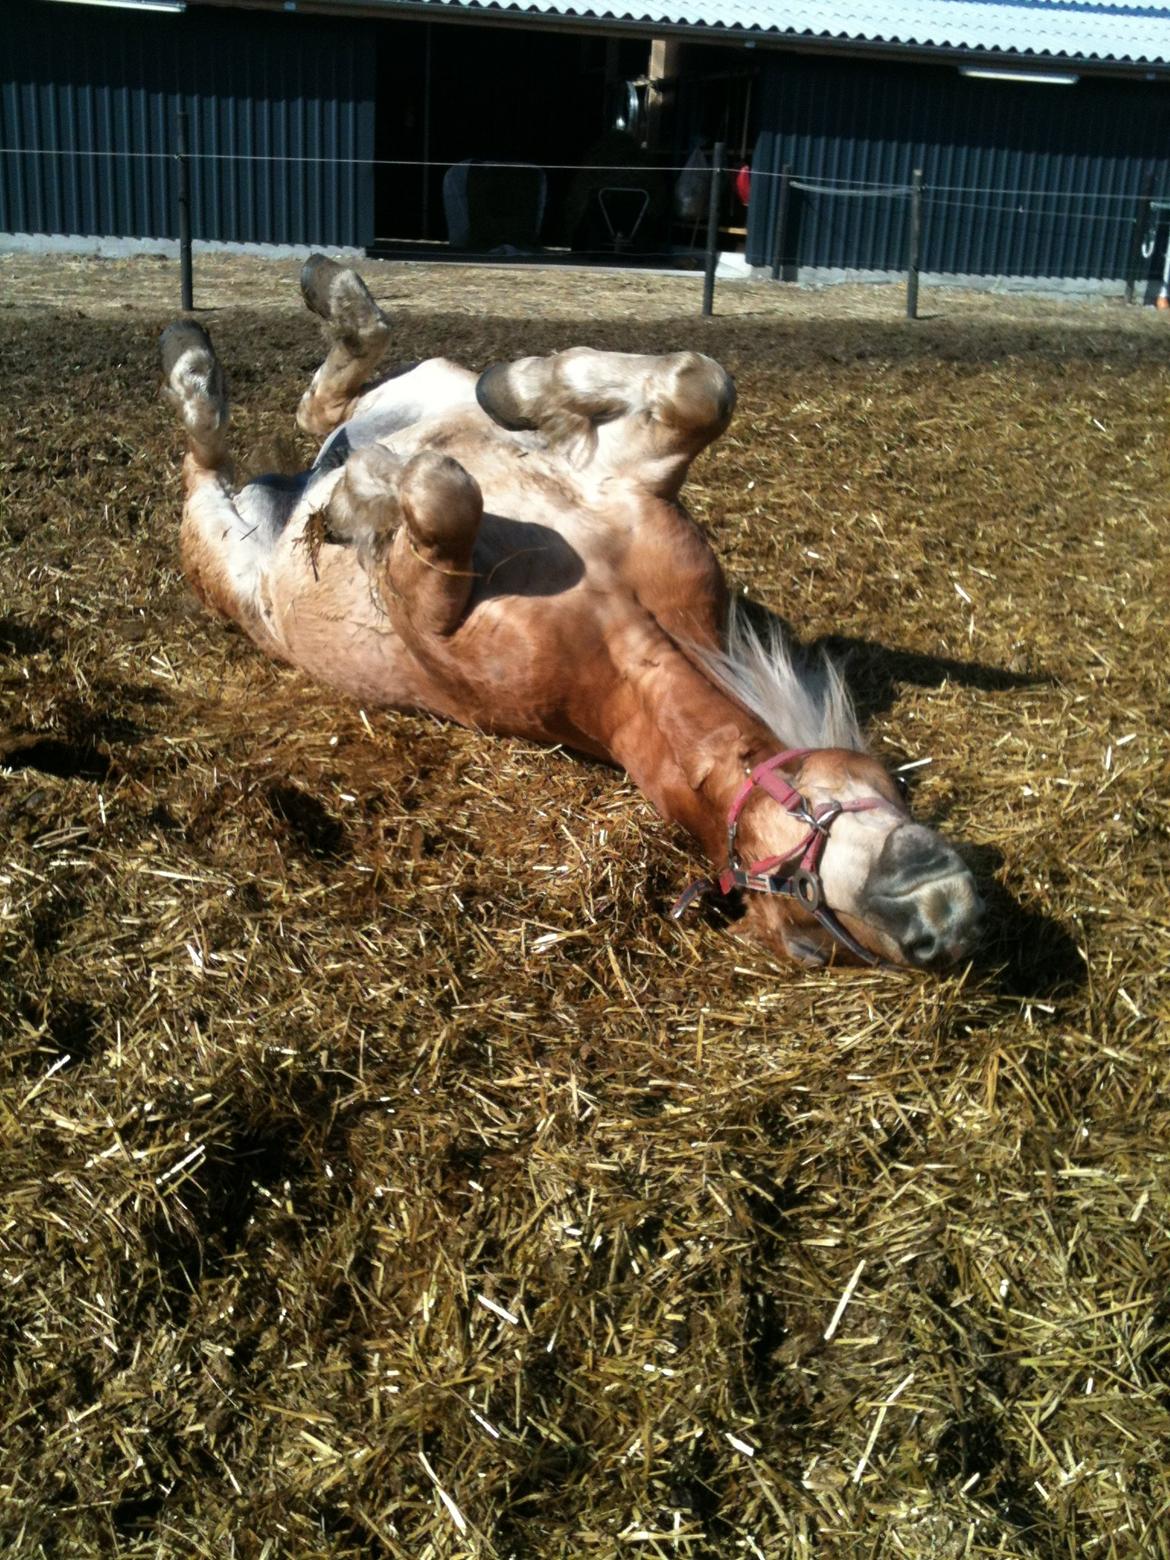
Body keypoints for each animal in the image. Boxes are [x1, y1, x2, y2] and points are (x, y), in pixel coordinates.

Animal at [160, 255, 984, 970]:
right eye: (817, 918)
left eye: (815, 940)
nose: (947, 927)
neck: (621, 640)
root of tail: (277, 488)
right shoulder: (630, 476)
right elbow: (698, 387)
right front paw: (511, 393)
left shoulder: (432, 604)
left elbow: (443, 490)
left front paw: (365, 494)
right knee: (287, 419)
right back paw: (246, 335)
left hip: (223, 541)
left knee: (245, 437)